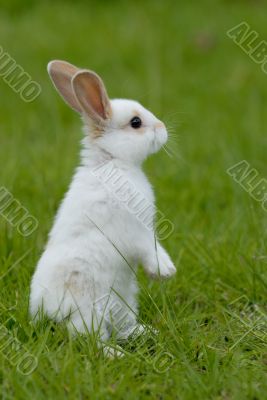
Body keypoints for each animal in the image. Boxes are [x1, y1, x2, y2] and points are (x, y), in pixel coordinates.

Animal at [29, 61, 176, 352]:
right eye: (135, 123)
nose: (163, 127)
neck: (112, 161)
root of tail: (46, 312)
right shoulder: (136, 232)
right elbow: (151, 248)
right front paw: (165, 272)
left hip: (125, 301)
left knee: (119, 328)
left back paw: (145, 333)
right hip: (89, 309)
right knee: (88, 339)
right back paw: (115, 354)